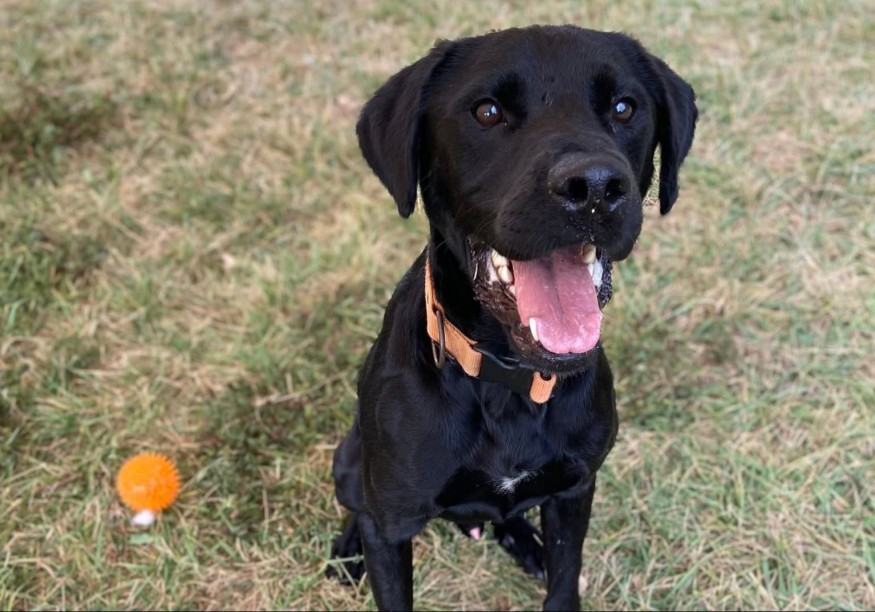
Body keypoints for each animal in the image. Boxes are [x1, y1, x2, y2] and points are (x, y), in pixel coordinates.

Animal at [328, 24, 697, 610]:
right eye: (487, 112)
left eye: (623, 107)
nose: (595, 188)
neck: (505, 380)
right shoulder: (392, 522)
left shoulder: (574, 490)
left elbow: (565, 580)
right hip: (349, 460)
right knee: (356, 505)